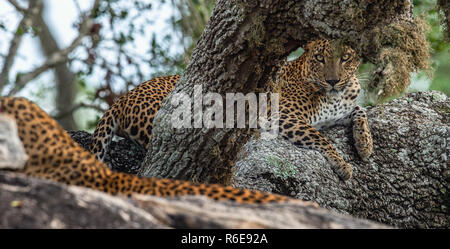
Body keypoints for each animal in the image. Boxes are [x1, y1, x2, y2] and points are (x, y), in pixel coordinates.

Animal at [90, 38, 372, 181]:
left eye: (345, 58)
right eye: (319, 59)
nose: (333, 80)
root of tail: (123, 97)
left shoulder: (340, 110)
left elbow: (360, 110)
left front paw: (364, 144)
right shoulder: (283, 116)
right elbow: (320, 137)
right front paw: (342, 164)